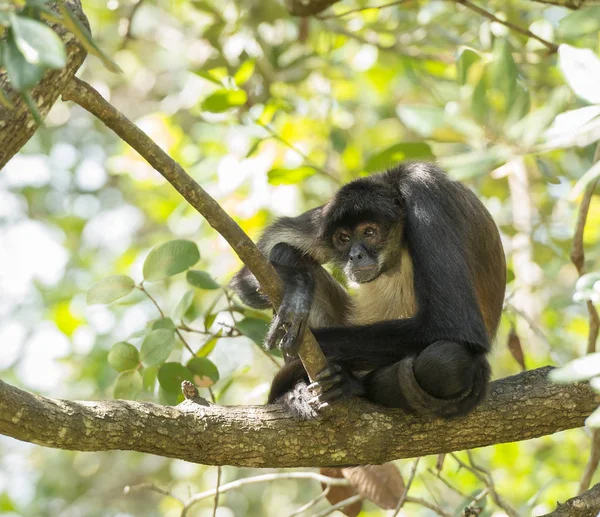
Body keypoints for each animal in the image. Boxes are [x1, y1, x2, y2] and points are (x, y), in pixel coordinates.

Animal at [230, 161, 506, 420]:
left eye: (370, 232)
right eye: (343, 238)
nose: (355, 255)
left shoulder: (424, 189)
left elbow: (456, 325)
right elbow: (252, 266)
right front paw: (296, 284)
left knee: (447, 360)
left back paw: (349, 384)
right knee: (284, 250)